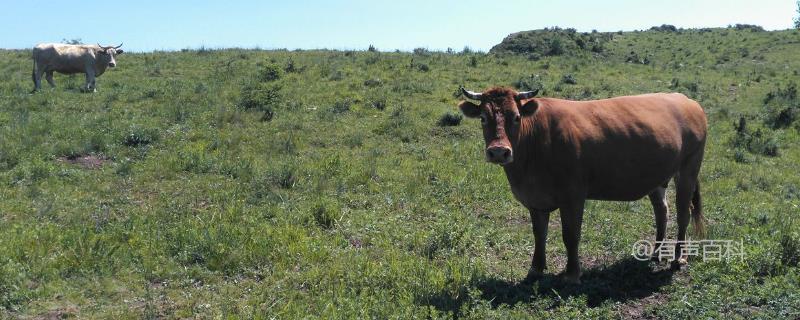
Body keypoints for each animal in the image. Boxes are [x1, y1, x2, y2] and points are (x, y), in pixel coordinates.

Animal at [456, 86, 708, 284]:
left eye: (517, 117)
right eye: (483, 118)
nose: (499, 151)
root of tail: (687, 100)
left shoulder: (573, 195)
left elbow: (571, 235)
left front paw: (572, 274)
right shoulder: (535, 200)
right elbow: (539, 234)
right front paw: (535, 269)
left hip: (689, 168)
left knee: (683, 213)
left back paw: (679, 258)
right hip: (658, 178)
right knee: (662, 211)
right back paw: (656, 253)